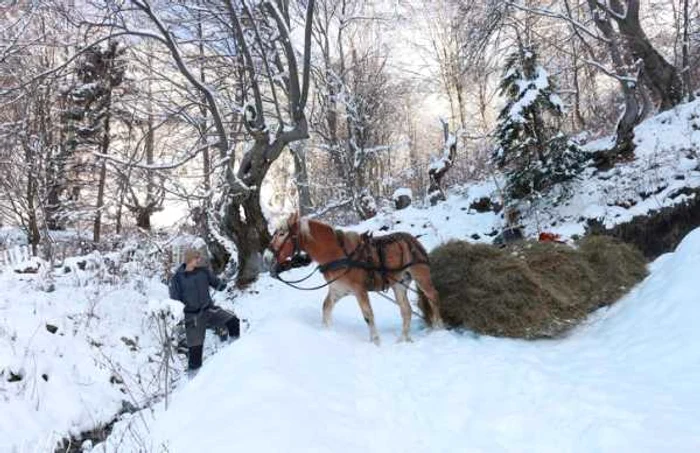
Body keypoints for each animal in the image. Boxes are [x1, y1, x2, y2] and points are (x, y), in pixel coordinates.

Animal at [268, 212, 442, 342]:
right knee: (406, 310)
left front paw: (376, 342)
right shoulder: (338, 290)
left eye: (282, 233)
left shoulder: (360, 290)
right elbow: (326, 308)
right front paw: (327, 332)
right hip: (399, 283)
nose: (268, 255)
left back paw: (438, 328)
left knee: (433, 297)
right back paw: (403, 339)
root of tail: (413, 240)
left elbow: (368, 315)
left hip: (421, 277)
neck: (338, 254)